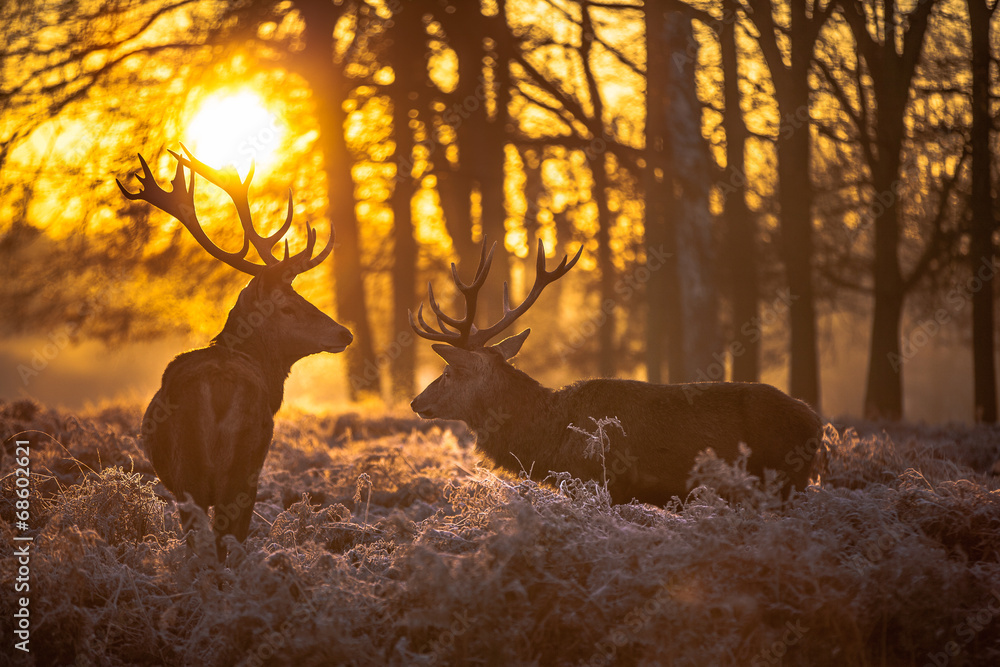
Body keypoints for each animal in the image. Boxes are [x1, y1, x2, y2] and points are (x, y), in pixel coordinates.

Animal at [410, 240, 824, 506]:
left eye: (449, 372)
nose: (416, 402)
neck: (548, 440)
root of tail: (816, 423)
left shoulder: (600, 482)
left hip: (784, 479)